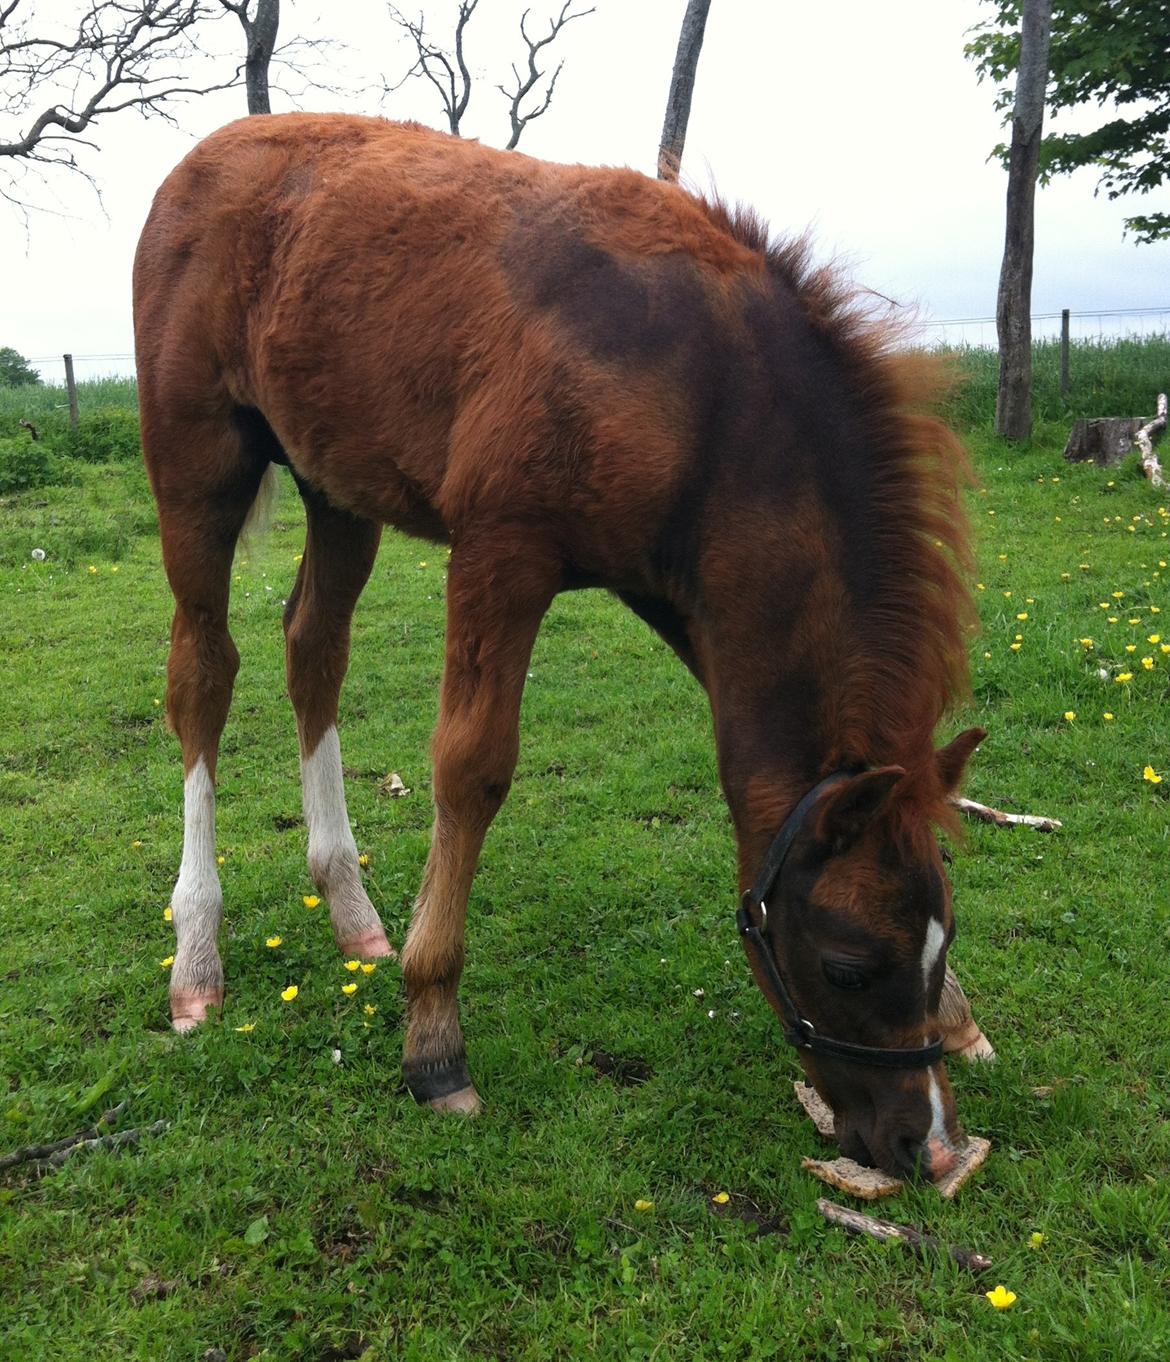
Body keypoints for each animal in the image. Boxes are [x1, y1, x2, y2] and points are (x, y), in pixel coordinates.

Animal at [134, 112, 988, 1182]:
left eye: (938, 939)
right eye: (847, 964)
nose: (926, 1144)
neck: (700, 389)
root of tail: (201, 159)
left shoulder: (684, 593)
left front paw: (961, 1018)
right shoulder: (502, 554)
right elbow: (472, 772)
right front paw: (435, 1044)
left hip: (336, 487)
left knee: (313, 648)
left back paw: (352, 911)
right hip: (197, 466)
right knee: (202, 677)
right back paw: (197, 957)